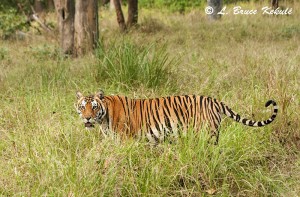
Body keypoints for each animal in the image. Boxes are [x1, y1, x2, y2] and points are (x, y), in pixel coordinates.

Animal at [75, 90, 278, 144]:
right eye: (82, 107)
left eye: (93, 107)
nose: (87, 118)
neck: (103, 119)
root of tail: (213, 100)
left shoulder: (125, 140)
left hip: (208, 133)